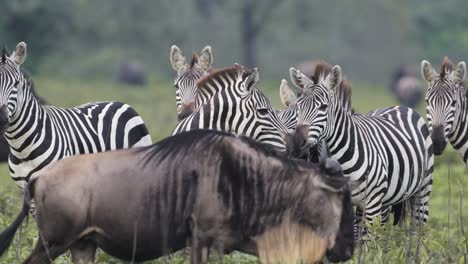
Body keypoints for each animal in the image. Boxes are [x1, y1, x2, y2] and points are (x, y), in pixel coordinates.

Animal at [286, 61, 436, 227]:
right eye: (298, 106)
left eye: (323, 107)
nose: (298, 142)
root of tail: (400, 106)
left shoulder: (373, 202)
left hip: (422, 190)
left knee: (417, 226)